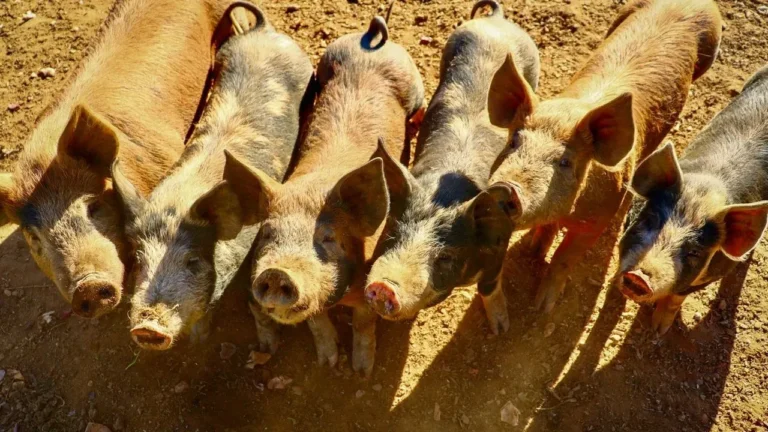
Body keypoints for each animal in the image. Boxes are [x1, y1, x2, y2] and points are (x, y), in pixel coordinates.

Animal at [110, 3, 314, 349]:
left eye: (192, 261)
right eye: (138, 261)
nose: (148, 328)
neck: (179, 200)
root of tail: (263, 30)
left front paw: (200, 338)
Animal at [217, 13, 425, 375]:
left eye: (327, 238)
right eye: (267, 234)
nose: (277, 272)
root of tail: (372, 41)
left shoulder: (369, 285)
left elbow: (364, 323)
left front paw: (361, 371)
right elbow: (317, 323)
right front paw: (328, 363)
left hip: (413, 84)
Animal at [363, 0, 539, 335]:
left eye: (444, 255)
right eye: (394, 236)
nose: (383, 286)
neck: (445, 197)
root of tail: (496, 19)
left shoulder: (500, 243)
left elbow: (488, 286)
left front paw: (501, 329)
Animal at [488, 0, 723, 313]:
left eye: (565, 162)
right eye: (514, 141)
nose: (505, 188)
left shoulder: (597, 222)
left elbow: (564, 259)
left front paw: (543, 308)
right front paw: (532, 252)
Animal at [615, 66, 768, 335]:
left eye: (695, 251)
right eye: (650, 220)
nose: (640, 278)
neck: (703, 194)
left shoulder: (714, 272)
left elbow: (676, 298)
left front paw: (659, 330)